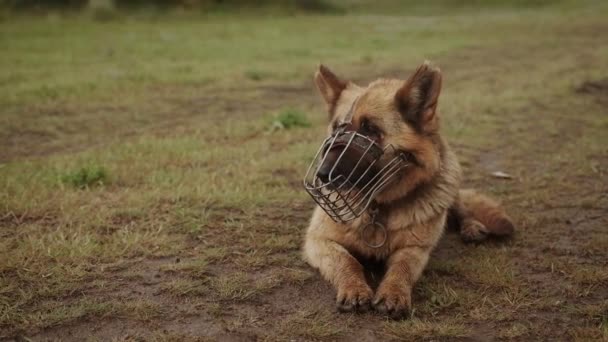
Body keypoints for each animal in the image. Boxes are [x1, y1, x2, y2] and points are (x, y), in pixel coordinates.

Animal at [304, 60, 512, 318]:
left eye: (369, 129)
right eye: (335, 130)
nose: (323, 176)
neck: (378, 208)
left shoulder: (415, 249)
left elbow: (401, 268)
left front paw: (394, 292)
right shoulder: (318, 241)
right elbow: (347, 261)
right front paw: (354, 288)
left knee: (460, 208)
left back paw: (471, 226)